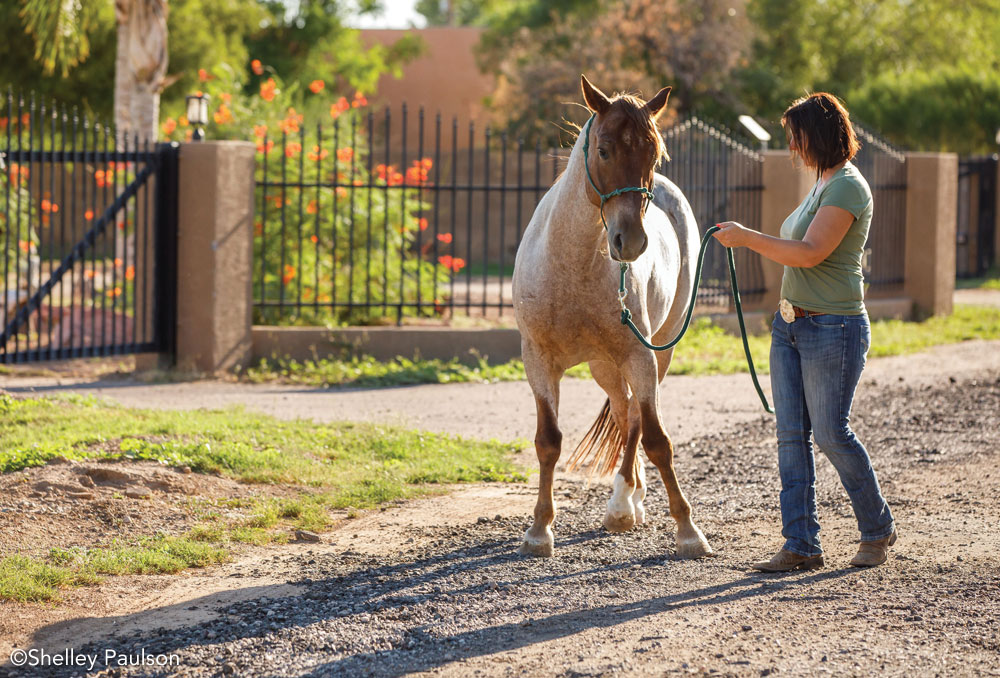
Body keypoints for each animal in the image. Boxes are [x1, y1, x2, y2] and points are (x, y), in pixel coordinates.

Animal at [512, 77, 716, 560]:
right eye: (603, 150)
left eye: (654, 155)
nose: (632, 241)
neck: (572, 267)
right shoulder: (537, 361)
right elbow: (548, 441)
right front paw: (539, 530)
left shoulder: (641, 357)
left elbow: (659, 440)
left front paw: (688, 531)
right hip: (603, 366)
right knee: (624, 414)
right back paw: (630, 498)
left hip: (655, 355)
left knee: (637, 419)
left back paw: (624, 505)